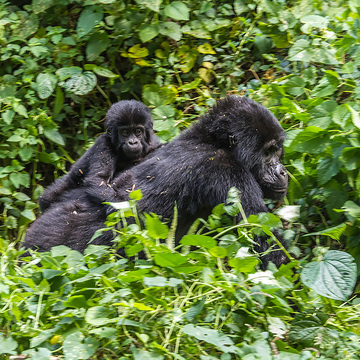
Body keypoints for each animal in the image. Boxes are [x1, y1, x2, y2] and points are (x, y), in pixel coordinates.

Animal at [21, 97, 286, 268]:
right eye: (268, 152)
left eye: (277, 150)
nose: (283, 172)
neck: (211, 141)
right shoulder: (229, 173)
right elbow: (264, 243)